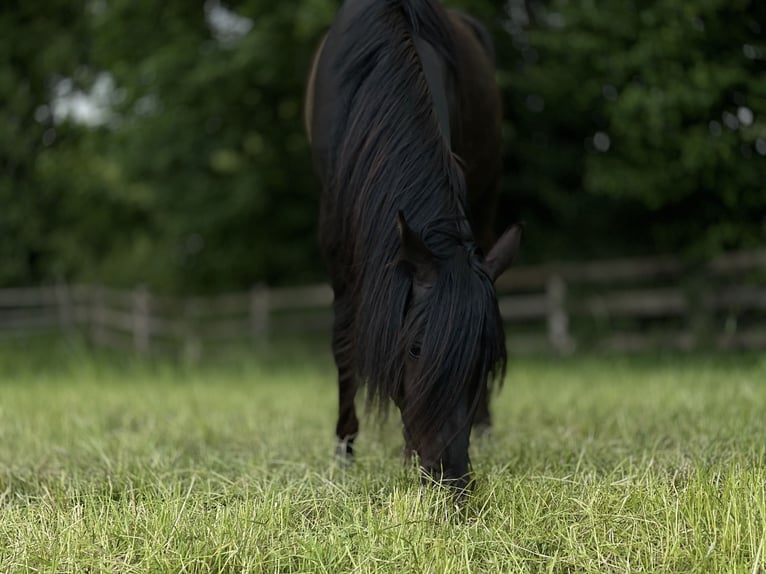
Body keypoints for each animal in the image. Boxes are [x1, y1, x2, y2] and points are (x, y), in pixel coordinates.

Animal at [305, 0, 521, 491]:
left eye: (484, 361)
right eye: (415, 349)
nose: (452, 480)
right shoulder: (335, 240)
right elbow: (343, 343)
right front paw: (344, 453)